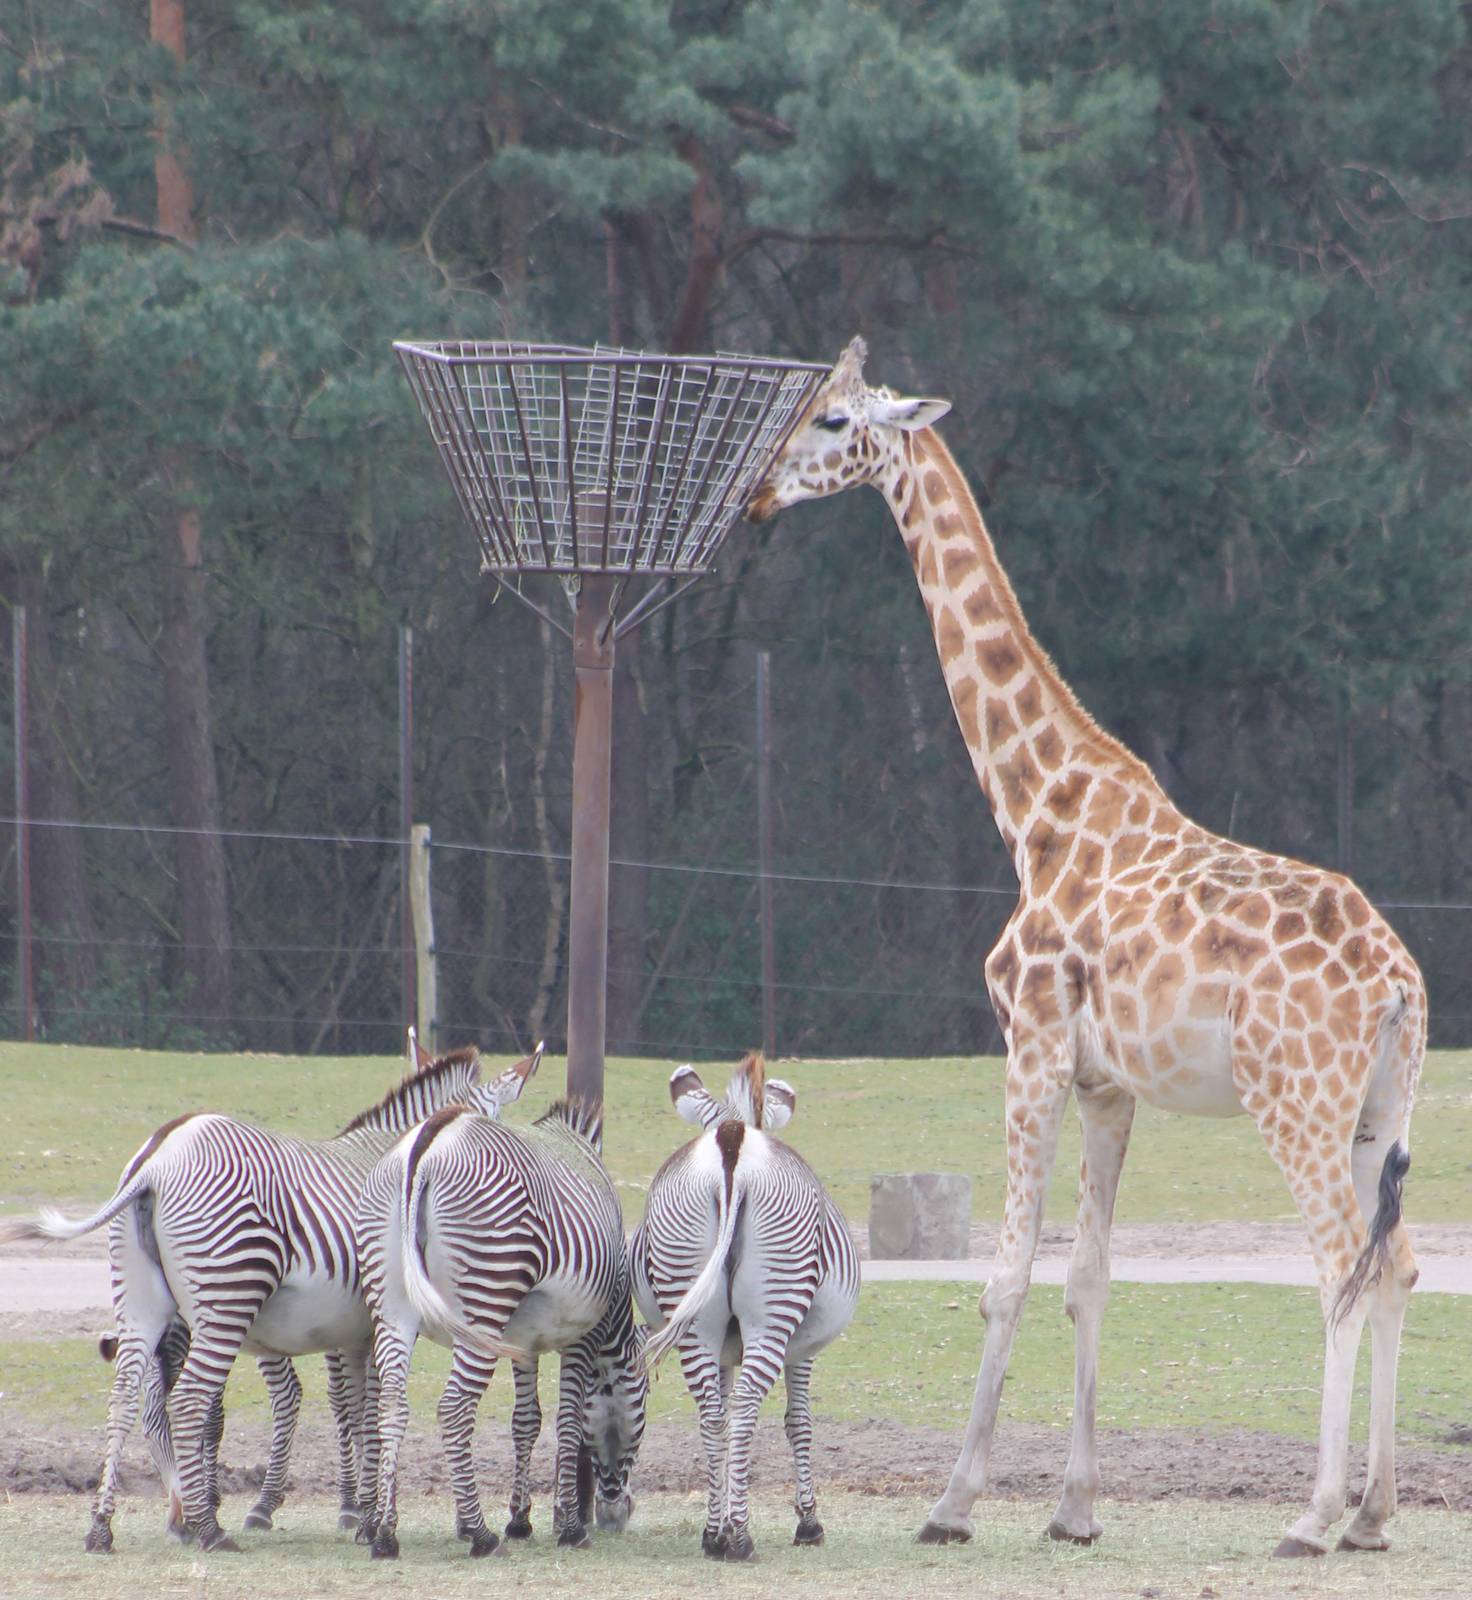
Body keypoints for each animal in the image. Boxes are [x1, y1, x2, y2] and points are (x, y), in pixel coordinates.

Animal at [0, 1044, 538, 1553]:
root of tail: (159, 1153)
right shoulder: (369, 1323)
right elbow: (365, 1409)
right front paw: (370, 1516)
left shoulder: (356, 1329)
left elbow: (359, 1407)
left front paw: (366, 1514)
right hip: (228, 1295)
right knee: (190, 1400)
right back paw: (208, 1528)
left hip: (141, 1302)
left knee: (128, 1398)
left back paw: (107, 1528)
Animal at [356, 1094, 647, 1559]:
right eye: (642, 1404)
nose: (616, 1516)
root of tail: (429, 1140)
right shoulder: (583, 1334)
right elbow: (569, 1421)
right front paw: (569, 1527)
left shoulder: (523, 1341)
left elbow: (526, 1420)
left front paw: (520, 1520)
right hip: (486, 1292)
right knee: (454, 1407)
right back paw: (481, 1535)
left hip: (391, 1305)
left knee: (391, 1406)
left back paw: (384, 1532)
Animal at [633, 1051, 859, 1561]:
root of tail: (732, 1137)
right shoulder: (802, 1350)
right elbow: (799, 1423)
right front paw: (808, 1522)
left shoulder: (722, 1346)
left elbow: (719, 1403)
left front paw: (713, 1522)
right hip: (774, 1311)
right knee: (744, 1407)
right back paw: (739, 1537)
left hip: (694, 1314)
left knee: (712, 1411)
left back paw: (715, 1535)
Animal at [745, 338, 1425, 1558]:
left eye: (829, 419)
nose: (757, 494)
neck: (1037, 810)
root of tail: (1400, 984)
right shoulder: (1108, 1084)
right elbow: (1091, 1275)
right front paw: (1072, 1509)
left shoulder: (1030, 1046)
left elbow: (1009, 1273)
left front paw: (952, 1502)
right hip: (1380, 1113)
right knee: (1393, 1261)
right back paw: (1372, 1513)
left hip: (1294, 1104)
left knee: (1337, 1269)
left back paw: (1310, 1518)